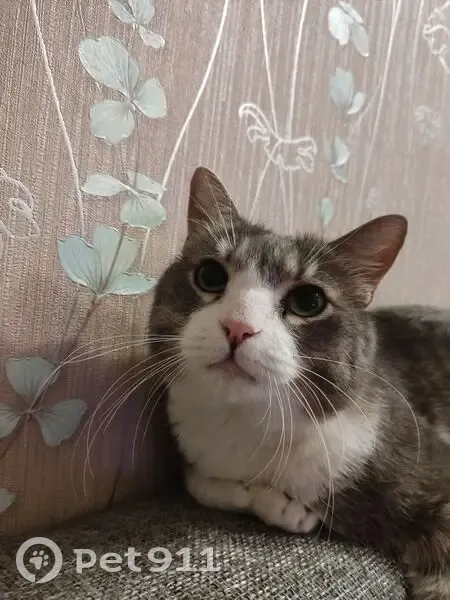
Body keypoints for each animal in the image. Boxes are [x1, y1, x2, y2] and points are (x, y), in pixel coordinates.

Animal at [149, 167, 450, 600]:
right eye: (209, 275)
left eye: (309, 301)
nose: (237, 327)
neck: (248, 425)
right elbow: (199, 482)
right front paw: (276, 505)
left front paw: (286, 507)